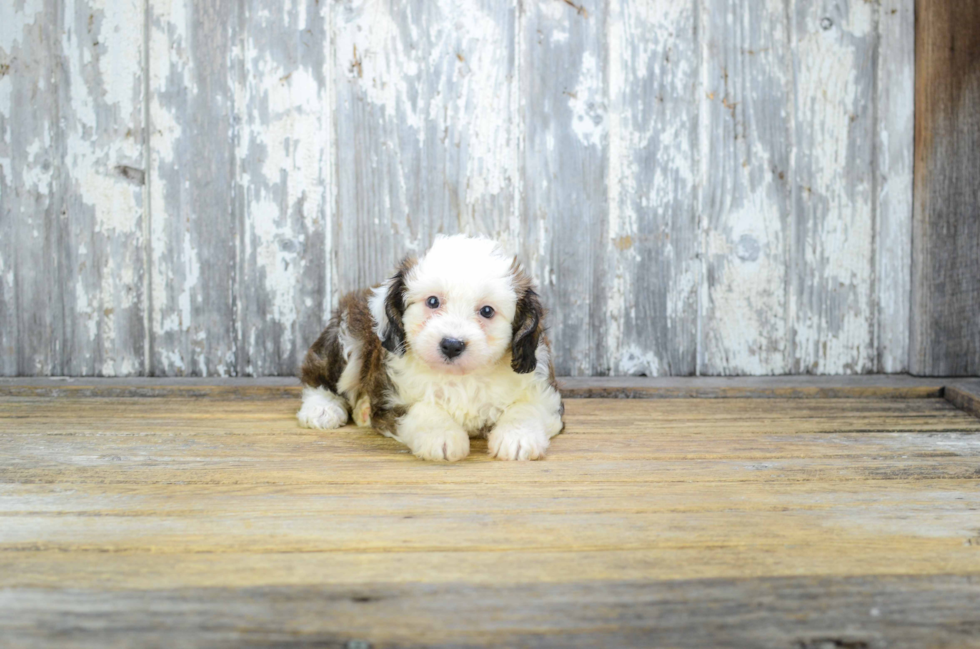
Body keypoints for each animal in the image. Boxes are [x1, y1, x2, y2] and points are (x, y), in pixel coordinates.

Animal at [294, 234, 564, 460]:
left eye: (487, 311)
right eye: (433, 301)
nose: (452, 345)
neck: (461, 378)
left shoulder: (545, 393)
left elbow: (529, 408)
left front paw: (517, 437)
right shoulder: (392, 400)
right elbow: (422, 410)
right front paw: (442, 436)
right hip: (348, 336)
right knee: (318, 374)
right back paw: (322, 409)